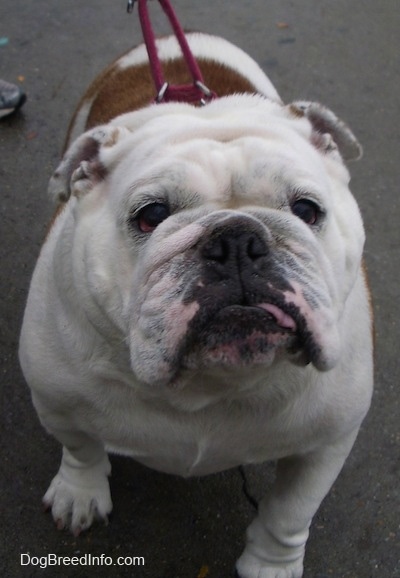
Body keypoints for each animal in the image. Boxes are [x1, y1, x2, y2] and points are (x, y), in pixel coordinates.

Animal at [20, 32, 374, 576]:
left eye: (307, 209)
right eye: (151, 215)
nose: (237, 240)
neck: (210, 387)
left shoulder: (327, 442)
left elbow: (289, 513)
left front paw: (271, 564)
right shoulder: (57, 400)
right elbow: (81, 448)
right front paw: (79, 493)